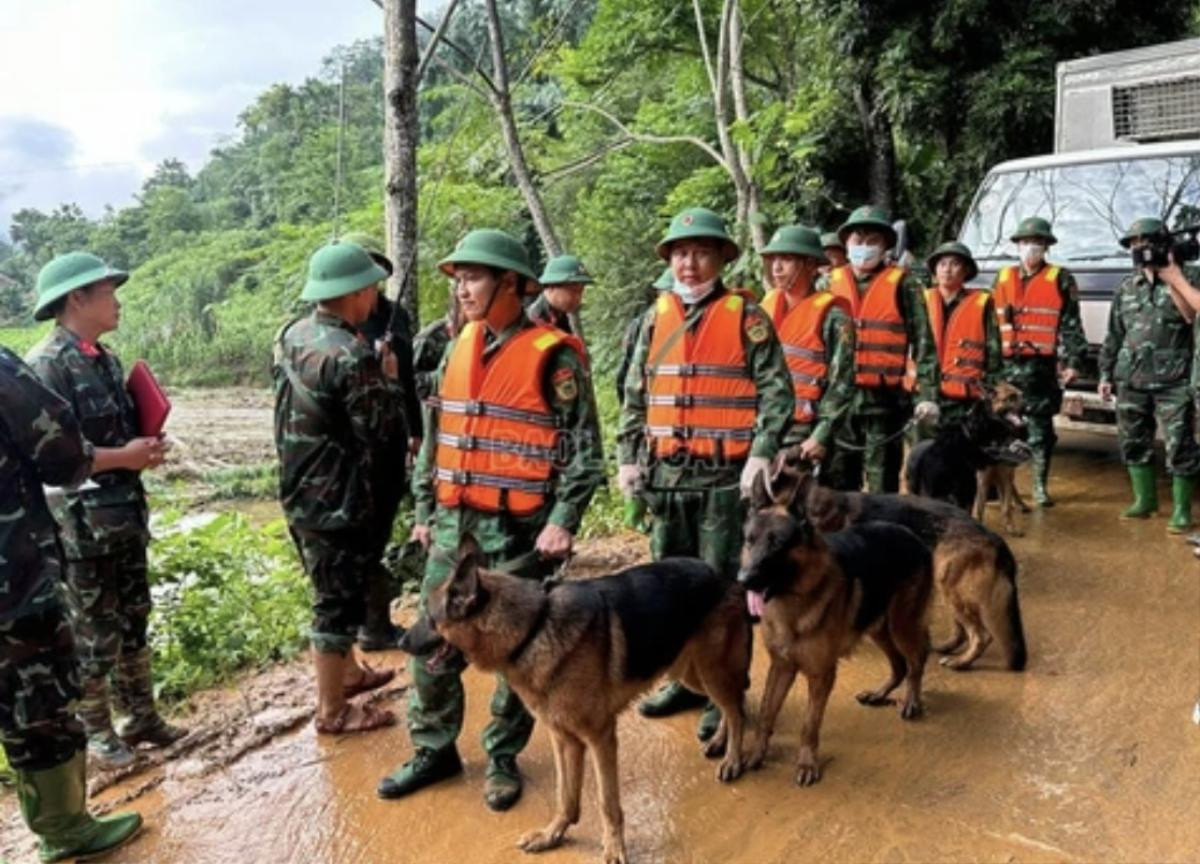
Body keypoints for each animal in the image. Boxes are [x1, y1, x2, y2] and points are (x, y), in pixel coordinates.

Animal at [410, 532, 748, 864]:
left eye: (428, 616)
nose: (402, 639)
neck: (533, 628)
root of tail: (718, 573)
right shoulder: (564, 738)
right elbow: (566, 795)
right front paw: (552, 835)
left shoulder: (600, 737)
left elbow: (607, 802)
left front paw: (614, 847)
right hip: (690, 674)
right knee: (731, 703)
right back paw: (720, 740)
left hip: (710, 671)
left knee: (736, 709)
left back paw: (733, 758)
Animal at [734, 468, 931, 787]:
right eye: (750, 540)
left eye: (777, 544)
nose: (743, 580)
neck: (793, 604)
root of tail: (910, 534)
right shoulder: (781, 667)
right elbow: (766, 713)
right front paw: (756, 754)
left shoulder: (821, 675)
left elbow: (809, 724)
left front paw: (806, 763)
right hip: (878, 628)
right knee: (899, 664)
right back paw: (880, 694)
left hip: (902, 625)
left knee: (916, 660)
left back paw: (912, 700)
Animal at [801, 468, 1027, 672]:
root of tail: (995, 539)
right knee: (963, 630)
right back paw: (949, 648)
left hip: (948, 585)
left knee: (981, 635)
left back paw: (961, 662)